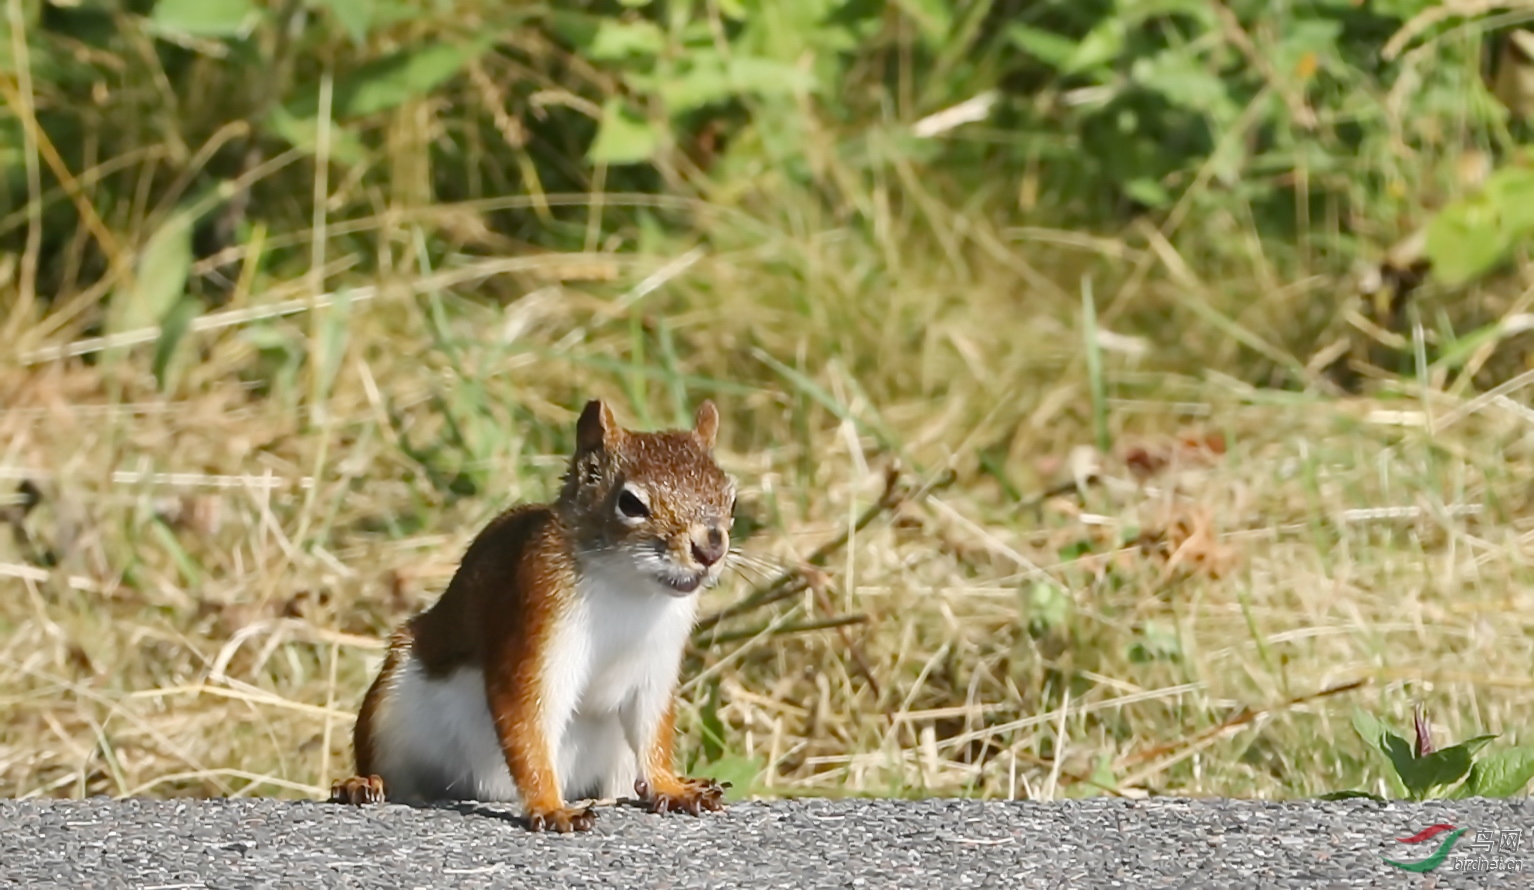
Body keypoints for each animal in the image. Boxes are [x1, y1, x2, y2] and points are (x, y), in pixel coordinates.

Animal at [328, 398, 736, 828]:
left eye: (731, 498)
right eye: (630, 503)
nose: (711, 548)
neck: (630, 590)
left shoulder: (656, 666)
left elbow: (653, 732)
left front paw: (671, 786)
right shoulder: (534, 622)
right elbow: (527, 720)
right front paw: (551, 806)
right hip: (390, 711)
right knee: (391, 771)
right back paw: (362, 784)